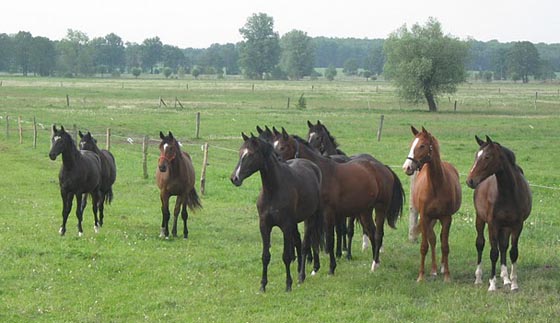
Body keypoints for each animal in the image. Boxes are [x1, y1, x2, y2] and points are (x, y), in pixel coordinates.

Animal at [229, 133, 324, 292]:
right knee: (298, 242)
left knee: (305, 245)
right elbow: (265, 256)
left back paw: (301, 275)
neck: (273, 190)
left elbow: (286, 256)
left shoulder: (285, 226)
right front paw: (263, 285)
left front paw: (288, 284)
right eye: (240, 153)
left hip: (310, 218)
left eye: (250, 154)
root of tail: (313, 166)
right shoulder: (264, 226)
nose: (234, 178)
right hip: (295, 223)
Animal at [272, 128, 402, 274]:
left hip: (380, 208)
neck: (320, 173)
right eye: (273, 145)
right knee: (372, 232)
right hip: (365, 211)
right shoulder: (313, 216)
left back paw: (374, 264)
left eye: (282, 147)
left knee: (378, 234)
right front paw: (315, 268)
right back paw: (376, 262)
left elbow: (330, 240)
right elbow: (313, 240)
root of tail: (384, 168)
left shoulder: (328, 213)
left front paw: (331, 268)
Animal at [402, 126, 464, 284]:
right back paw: (434, 269)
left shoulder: (447, 218)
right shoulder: (425, 217)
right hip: (430, 220)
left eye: (422, 146)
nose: (407, 167)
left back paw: (441, 267)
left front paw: (447, 275)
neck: (436, 185)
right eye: (411, 144)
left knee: (440, 239)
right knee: (433, 240)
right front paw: (421, 276)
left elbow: (445, 245)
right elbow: (425, 246)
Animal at [466, 135, 532, 292]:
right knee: (480, 244)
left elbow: (513, 252)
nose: (470, 180)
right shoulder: (492, 225)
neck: (508, 193)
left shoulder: (517, 225)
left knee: (503, 246)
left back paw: (505, 278)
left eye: (487, 157)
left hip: (505, 226)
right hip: (480, 219)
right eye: (476, 156)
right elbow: (493, 253)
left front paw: (513, 283)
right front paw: (492, 284)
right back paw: (478, 278)